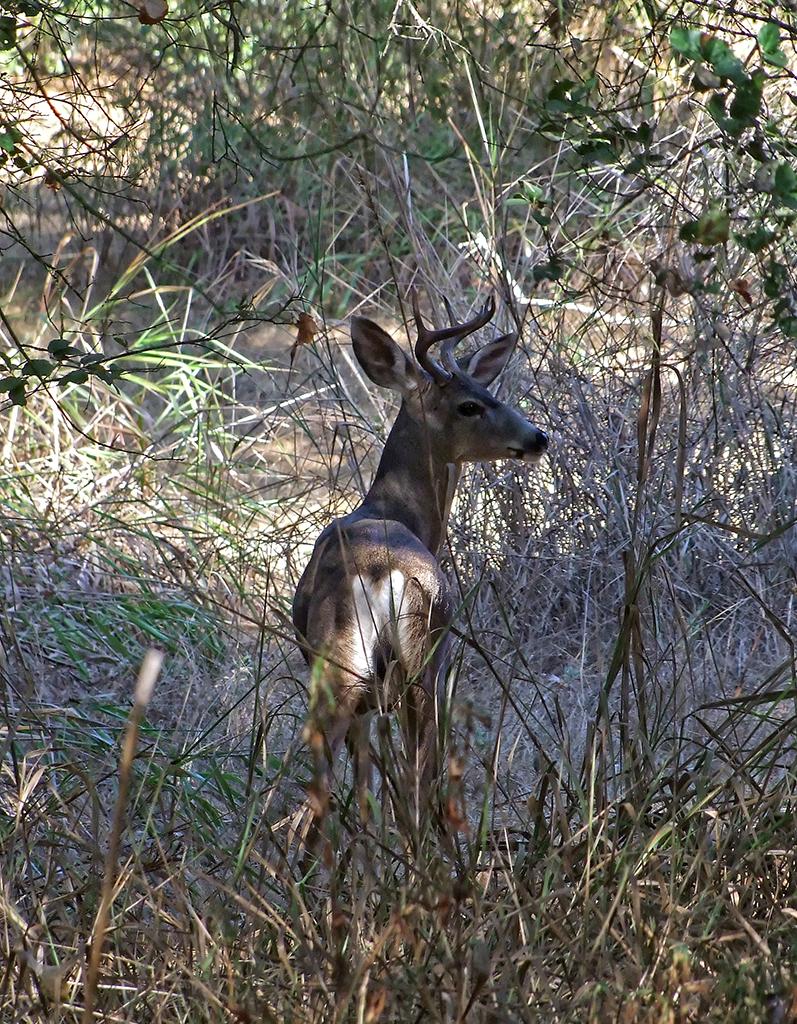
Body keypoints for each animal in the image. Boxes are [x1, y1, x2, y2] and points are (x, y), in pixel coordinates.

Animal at [291, 293, 548, 842]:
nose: (537, 438)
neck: (395, 509)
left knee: (325, 793)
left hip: (345, 677)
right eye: (470, 404)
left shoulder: (369, 705)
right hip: (419, 664)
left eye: (488, 388)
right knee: (418, 785)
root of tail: (378, 574)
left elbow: (368, 794)